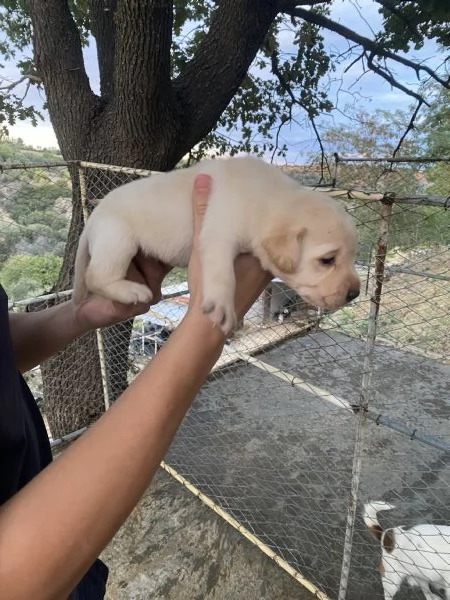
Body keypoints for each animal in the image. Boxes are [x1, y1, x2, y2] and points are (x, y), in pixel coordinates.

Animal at [74, 156, 362, 332]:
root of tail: (93, 219)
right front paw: (222, 305)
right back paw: (130, 291)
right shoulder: (216, 237)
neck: (267, 198)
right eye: (327, 260)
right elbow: (222, 274)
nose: (355, 294)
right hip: (117, 238)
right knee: (96, 276)